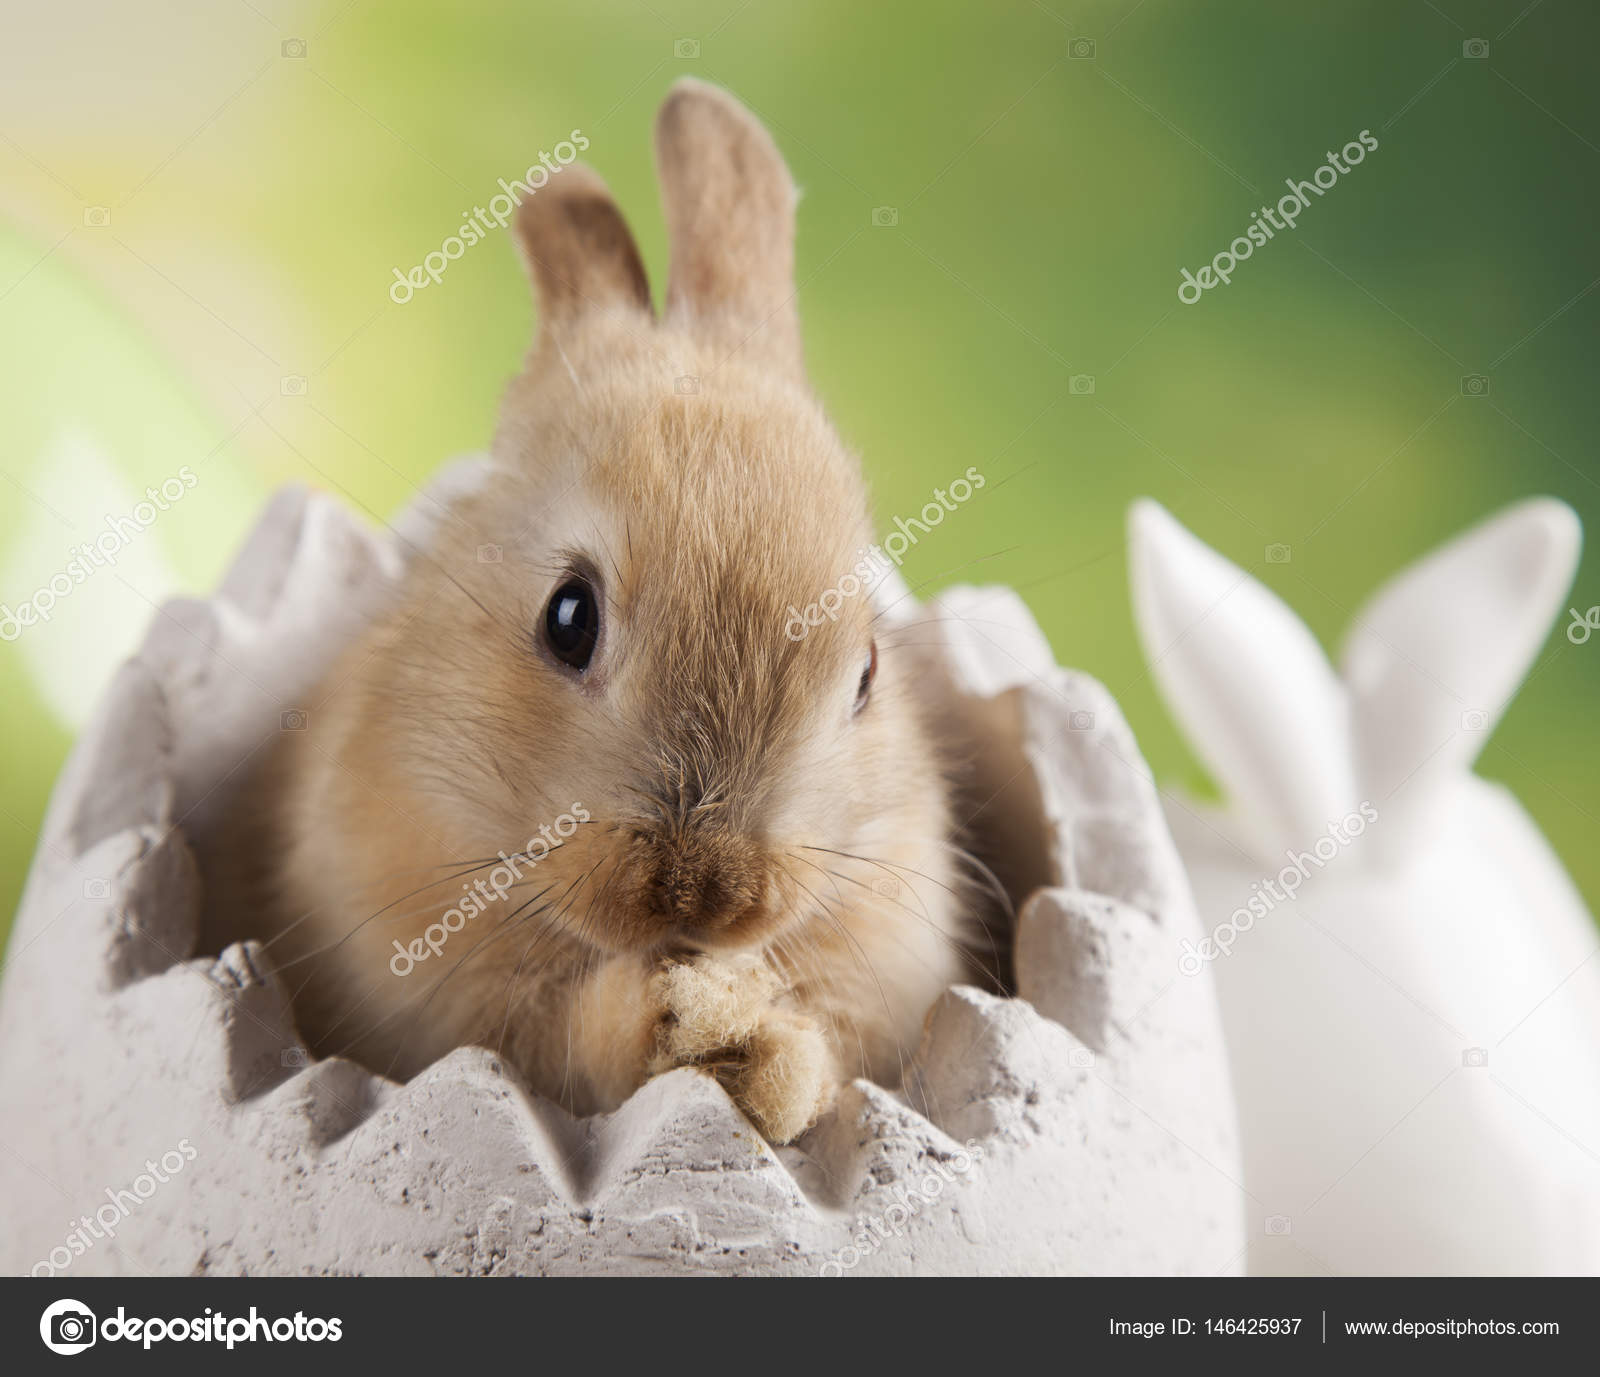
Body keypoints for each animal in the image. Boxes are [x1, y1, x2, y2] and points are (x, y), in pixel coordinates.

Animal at [202, 80, 975, 1145]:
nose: (708, 895)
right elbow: (558, 1039)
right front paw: (678, 1019)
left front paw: (762, 1052)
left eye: (865, 673)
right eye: (567, 617)